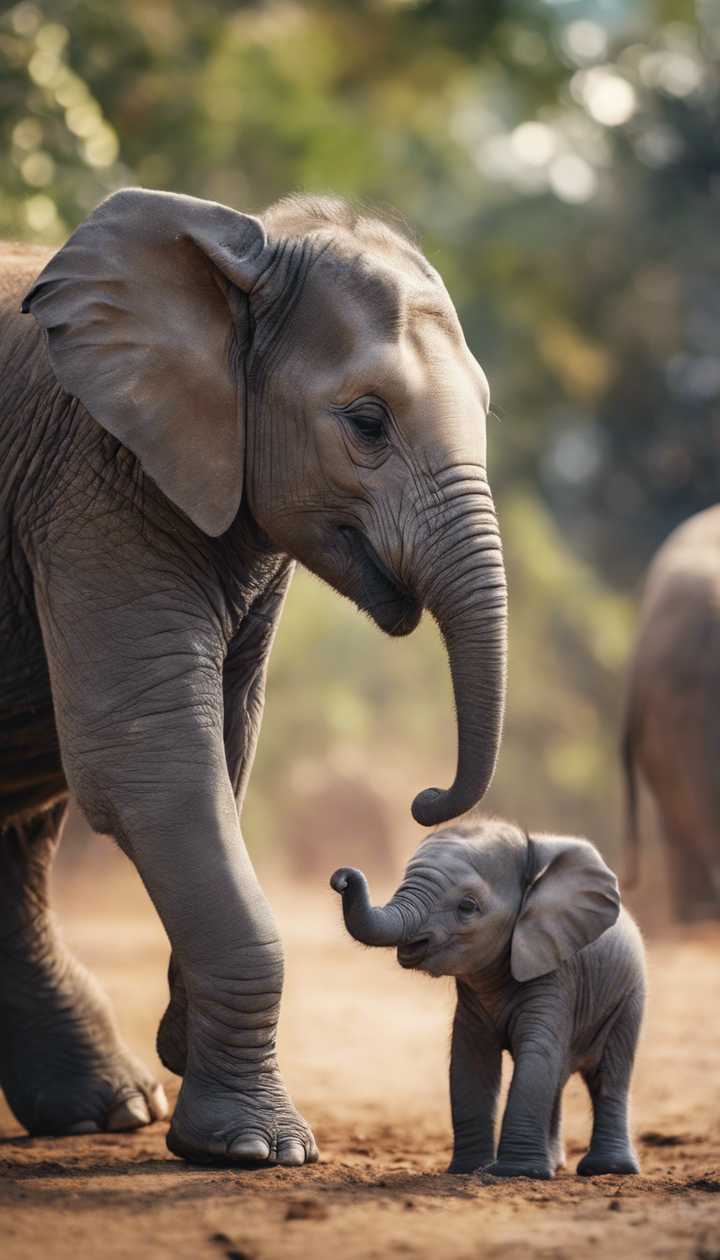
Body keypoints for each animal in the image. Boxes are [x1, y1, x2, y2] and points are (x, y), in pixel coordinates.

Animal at [0, 189, 507, 1164]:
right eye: (368, 422)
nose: (425, 800)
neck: (247, 249)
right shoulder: (95, 477)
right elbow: (149, 757)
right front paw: (257, 1149)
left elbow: (224, 748)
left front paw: (185, 1053)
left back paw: (109, 1112)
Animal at [331, 817, 644, 1179]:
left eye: (467, 907)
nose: (342, 877)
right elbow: (470, 1060)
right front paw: (468, 1170)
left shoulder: (556, 972)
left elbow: (536, 1054)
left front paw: (516, 1173)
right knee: (559, 1075)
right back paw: (556, 1164)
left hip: (628, 996)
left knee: (609, 1073)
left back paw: (608, 1168)